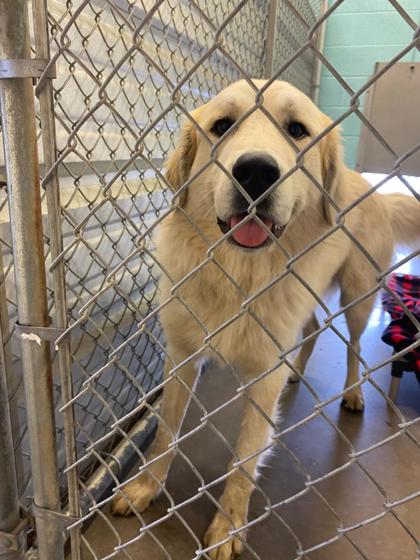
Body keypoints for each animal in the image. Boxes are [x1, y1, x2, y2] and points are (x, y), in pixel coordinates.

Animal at [110, 80, 418, 560]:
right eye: (222, 125)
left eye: (297, 130)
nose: (255, 172)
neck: (240, 276)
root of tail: (373, 190)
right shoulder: (181, 355)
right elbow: (166, 433)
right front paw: (145, 487)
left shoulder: (263, 376)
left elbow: (245, 458)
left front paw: (228, 527)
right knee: (312, 329)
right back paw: (299, 371)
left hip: (358, 296)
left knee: (352, 346)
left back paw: (352, 392)